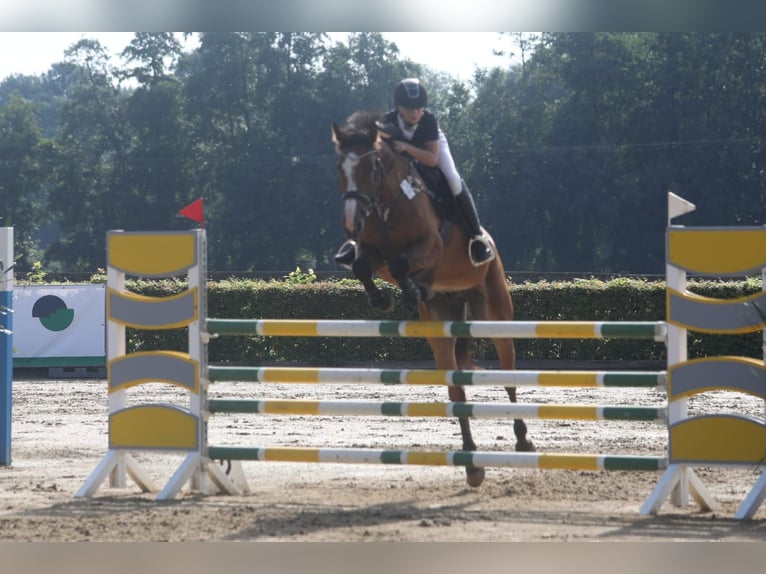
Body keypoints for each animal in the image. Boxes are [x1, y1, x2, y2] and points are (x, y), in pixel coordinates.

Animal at [332, 110, 536, 488]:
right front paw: (384, 299)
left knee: (509, 376)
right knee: (456, 392)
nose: (351, 223)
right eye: (341, 167)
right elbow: (364, 265)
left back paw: (522, 440)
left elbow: (402, 263)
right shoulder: (370, 253)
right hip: (442, 326)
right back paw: (472, 465)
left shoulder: (431, 246)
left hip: (496, 312)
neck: (388, 203)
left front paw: (411, 288)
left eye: (371, 166)